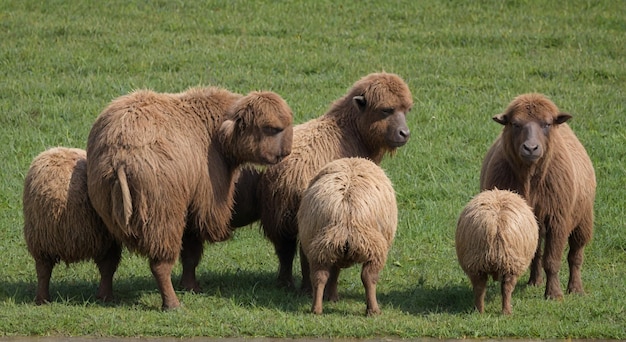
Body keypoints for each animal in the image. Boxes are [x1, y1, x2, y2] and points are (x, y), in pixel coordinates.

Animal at [22, 147, 122, 304]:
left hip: (42, 240)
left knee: (43, 270)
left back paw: (42, 299)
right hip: (104, 239)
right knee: (108, 267)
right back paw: (106, 297)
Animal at [86, 86, 294, 310]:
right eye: (271, 128)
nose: (286, 153)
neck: (213, 129)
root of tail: (119, 156)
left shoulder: (190, 209)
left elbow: (189, 255)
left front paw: (189, 286)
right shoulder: (200, 206)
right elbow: (192, 252)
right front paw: (191, 287)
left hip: (107, 222)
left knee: (107, 263)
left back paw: (105, 296)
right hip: (163, 220)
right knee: (160, 265)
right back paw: (172, 304)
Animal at [256, 71, 412, 288]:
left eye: (406, 110)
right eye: (385, 110)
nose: (404, 133)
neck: (349, 129)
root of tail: (287, 178)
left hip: (278, 217)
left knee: (285, 251)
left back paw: (285, 284)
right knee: (305, 254)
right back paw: (307, 287)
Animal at [296, 158, 394, 316]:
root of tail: (345, 212)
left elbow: (334, 271)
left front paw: (332, 297)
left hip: (321, 247)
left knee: (319, 276)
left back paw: (316, 309)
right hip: (373, 247)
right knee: (368, 277)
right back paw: (373, 310)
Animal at [478, 93, 596, 300]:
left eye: (547, 124)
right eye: (515, 124)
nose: (531, 148)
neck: (530, 179)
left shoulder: (559, 220)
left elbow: (552, 261)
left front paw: (554, 294)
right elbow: (534, 256)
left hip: (583, 220)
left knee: (575, 256)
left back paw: (575, 288)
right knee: (537, 254)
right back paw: (534, 281)